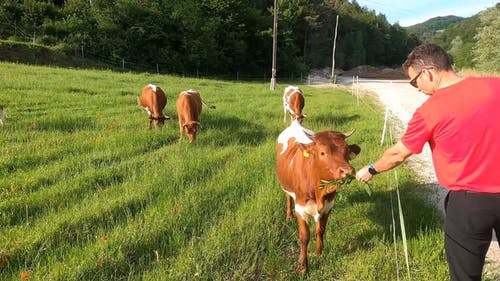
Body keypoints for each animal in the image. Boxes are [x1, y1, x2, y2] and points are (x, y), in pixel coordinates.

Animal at [276, 120, 362, 272]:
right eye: (323, 153)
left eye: (347, 150)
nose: (347, 171)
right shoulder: (300, 207)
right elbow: (304, 236)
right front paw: (303, 266)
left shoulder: (328, 206)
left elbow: (320, 230)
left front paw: (319, 253)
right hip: (286, 187)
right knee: (288, 198)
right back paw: (288, 216)